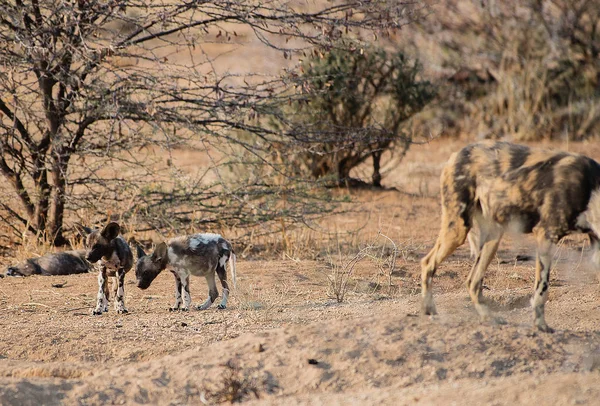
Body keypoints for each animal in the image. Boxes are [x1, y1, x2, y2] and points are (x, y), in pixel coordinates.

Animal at [420, 141, 600, 332]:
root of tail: (459, 152)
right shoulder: (545, 235)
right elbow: (542, 290)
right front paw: (540, 325)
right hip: (458, 230)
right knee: (428, 263)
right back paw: (429, 309)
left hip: (492, 237)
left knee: (472, 282)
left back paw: (487, 316)